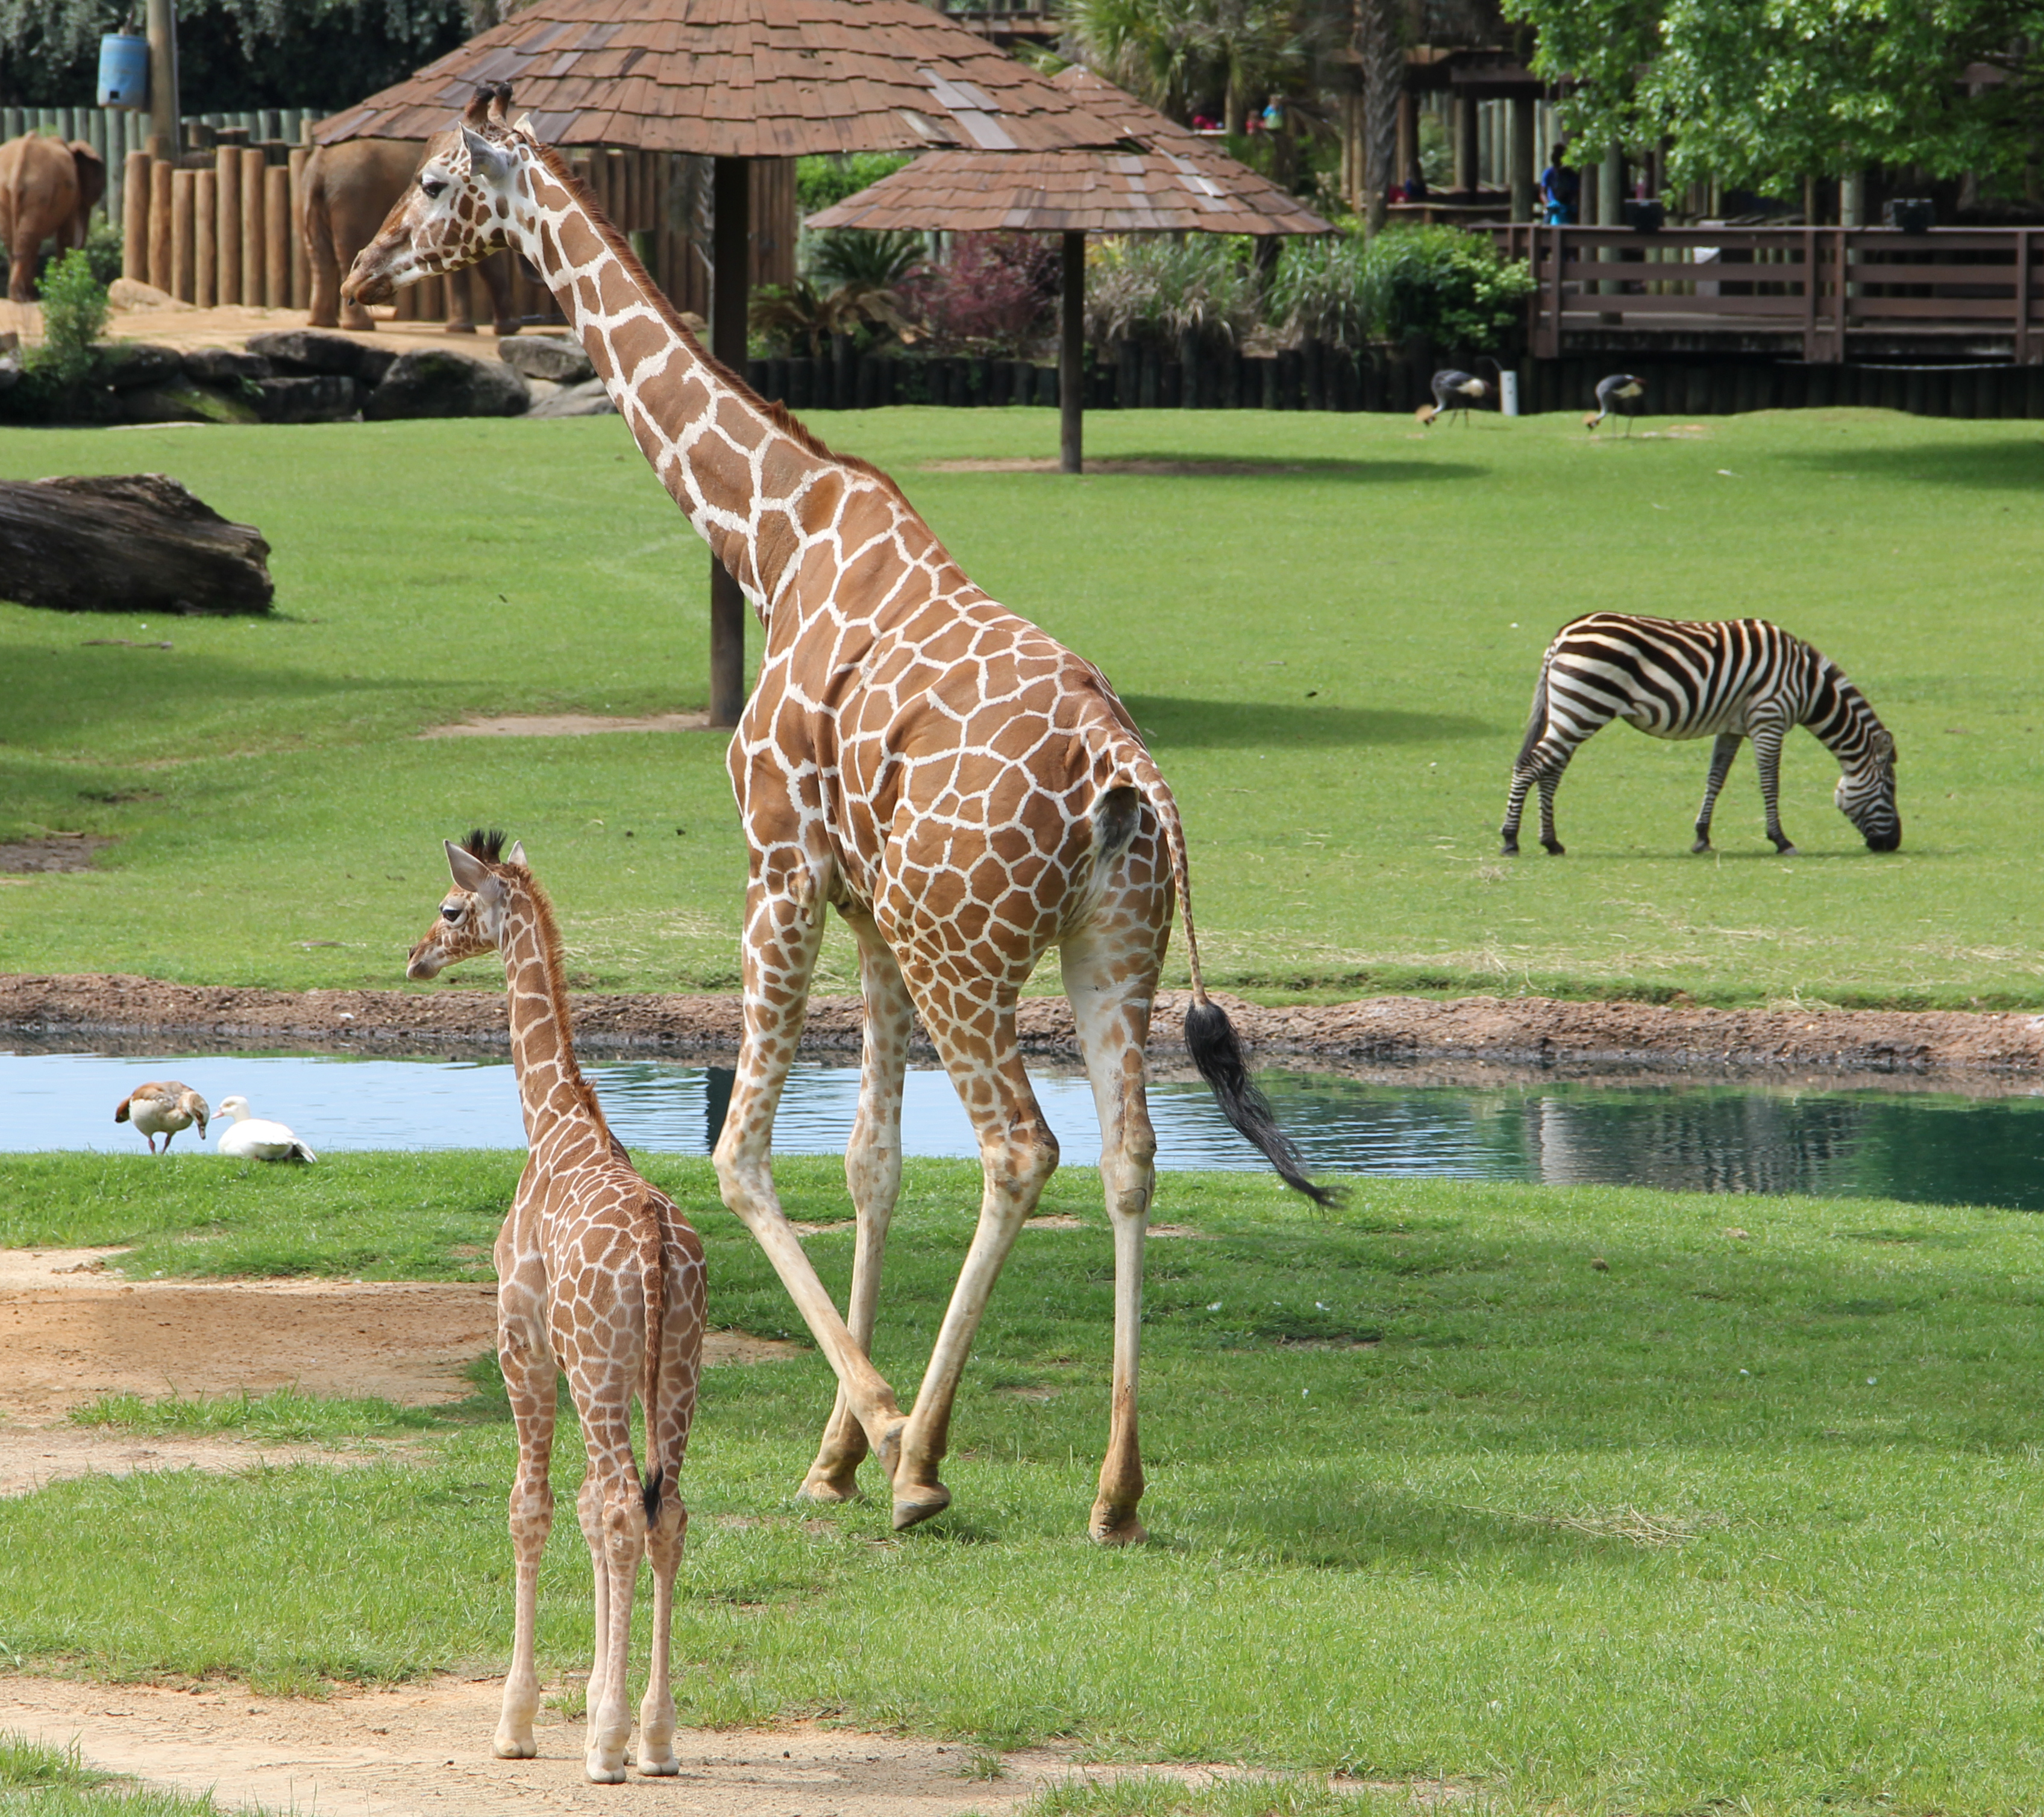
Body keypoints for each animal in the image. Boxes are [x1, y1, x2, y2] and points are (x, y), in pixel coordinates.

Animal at [0, 134, 105, 300]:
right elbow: (66, 236)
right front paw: (61, 285)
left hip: (9, 193)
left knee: (18, 240)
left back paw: (20, 297)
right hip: (39, 190)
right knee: (26, 240)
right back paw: (22, 298)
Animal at [300, 137, 515, 335]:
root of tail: (318, 163)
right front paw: (505, 330)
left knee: (320, 255)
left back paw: (322, 324)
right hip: (352, 196)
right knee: (346, 251)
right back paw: (360, 327)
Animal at [347, 81, 1341, 1528]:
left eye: (429, 182)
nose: (362, 272)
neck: (769, 538)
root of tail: (1126, 774)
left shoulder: (781, 866)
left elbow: (743, 1152)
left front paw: (873, 1434)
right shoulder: (870, 911)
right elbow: (869, 1161)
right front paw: (831, 1454)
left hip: (965, 949)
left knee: (1019, 1149)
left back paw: (925, 1459)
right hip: (1107, 944)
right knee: (1130, 1151)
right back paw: (1112, 1490)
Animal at [407, 830, 711, 1782]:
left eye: (451, 908)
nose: (416, 956)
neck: (552, 1124)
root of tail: (654, 1249)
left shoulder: (524, 1344)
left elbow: (531, 1507)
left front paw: (521, 1721)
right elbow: (580, 1507)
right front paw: (589, 1711)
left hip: (603, 1370)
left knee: (619, 1505)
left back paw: (611, 1746)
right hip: (677, 1369)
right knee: (662, 1509)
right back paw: (655, 1738)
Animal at [1504, 617, 1896, 858]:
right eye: (1890, 789)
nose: (1893, 843)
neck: (1806, 684)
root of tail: (1563, 636)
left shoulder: (1732, 727)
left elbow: (1716, 778)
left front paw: (1702, 837)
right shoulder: (1769, 719)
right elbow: (1770, 782)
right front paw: (1781, 839)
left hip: (1570, 711)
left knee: (1550, 772)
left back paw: (1551, 842)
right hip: (1583, 709)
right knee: (1529, 766)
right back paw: (1510, 840)